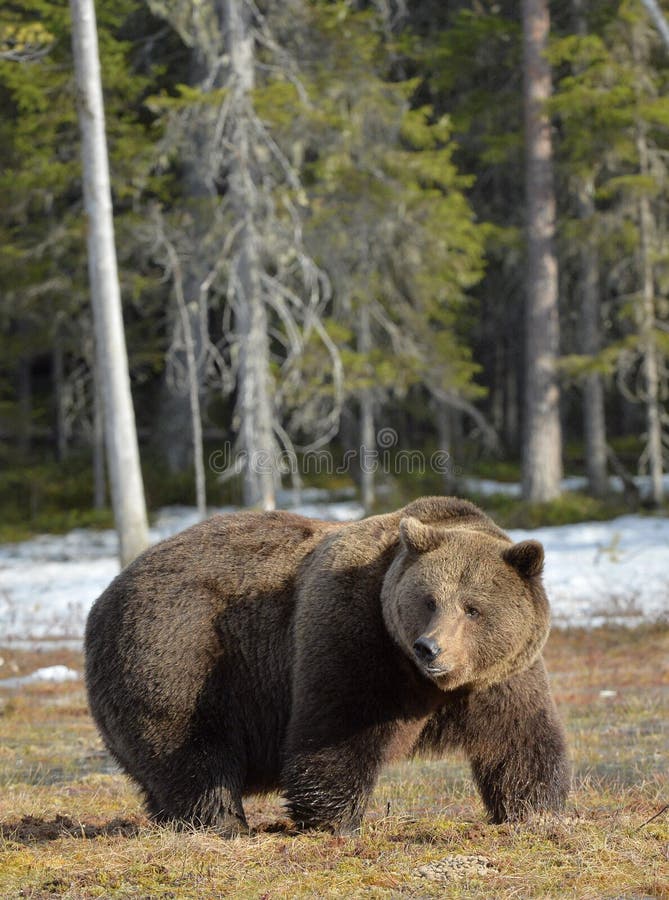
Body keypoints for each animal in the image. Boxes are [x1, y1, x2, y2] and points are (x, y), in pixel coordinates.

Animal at [85, 496, 568, 832]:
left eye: (472, 608)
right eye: (429, 600)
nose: (430, 648)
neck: (427, 683)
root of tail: (106, 593)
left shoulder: (501, 676)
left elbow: (520, 738)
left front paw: (536, 812)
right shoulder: (352, 632)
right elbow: (337, 729)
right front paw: (334, 821)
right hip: (179, 650)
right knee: (191, 747)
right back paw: (222, 822)